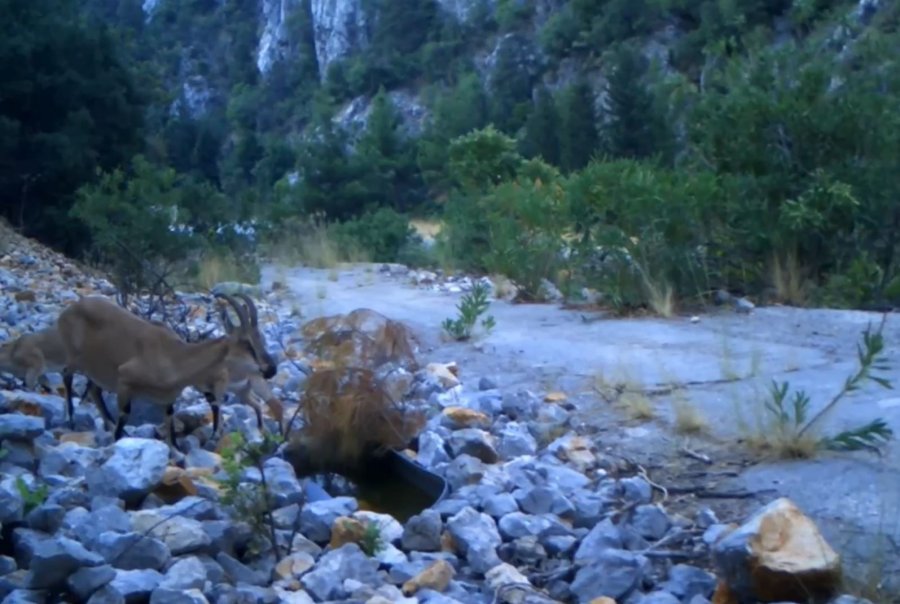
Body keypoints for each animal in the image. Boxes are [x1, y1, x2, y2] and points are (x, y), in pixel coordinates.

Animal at [56, 292, 278, 448]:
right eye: (246, 343)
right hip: (75, 358)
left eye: (260, 338)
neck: (174, 356)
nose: (271, 369)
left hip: (96, 371)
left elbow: (170, 425)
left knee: (94, 390)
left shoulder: (168, 400)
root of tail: (71, 309)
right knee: (66, 374)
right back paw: (70, 420)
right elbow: (125, 415)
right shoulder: (125, 380)